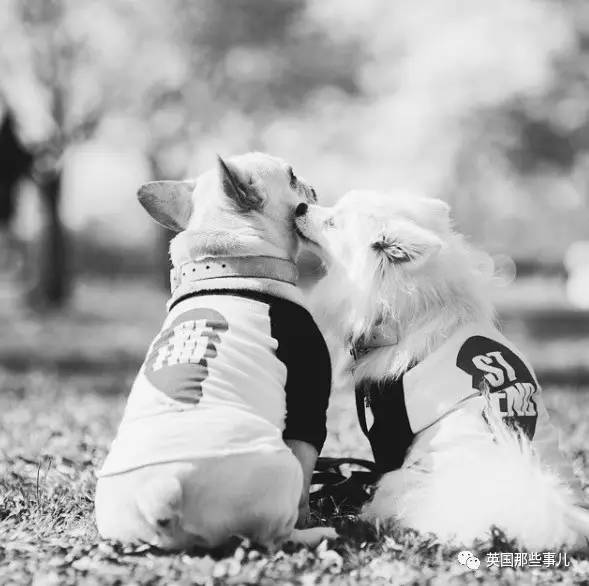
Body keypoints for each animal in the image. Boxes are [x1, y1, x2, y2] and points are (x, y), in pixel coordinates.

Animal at [96, 153, 336, 548]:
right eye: (291, 176)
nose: (309, 186)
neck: (227, 264)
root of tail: (164, 487)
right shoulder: (309, 407)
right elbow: (307, 470)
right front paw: (309, 516)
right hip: (278, 470)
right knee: (277, 534)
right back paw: (315, 533)